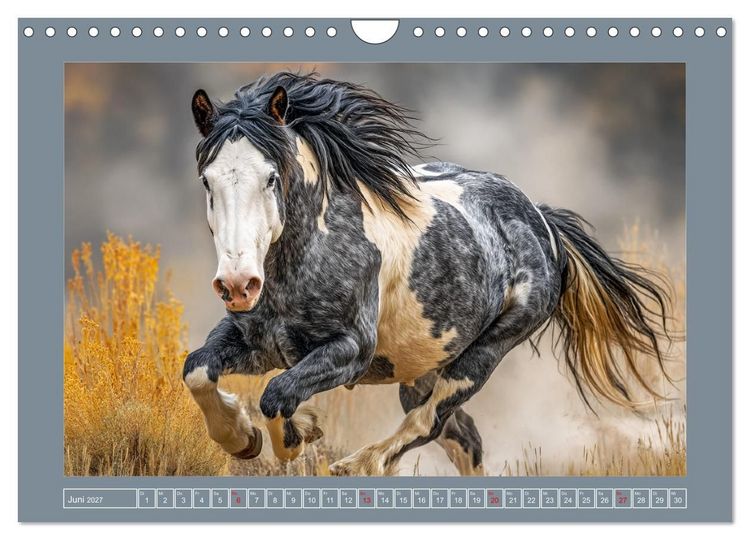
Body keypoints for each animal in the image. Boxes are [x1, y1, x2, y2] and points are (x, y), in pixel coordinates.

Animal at [182, 72, 671, 476]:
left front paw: (295, 436)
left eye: (270, 177)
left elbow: (276, 395)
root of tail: (541, 220)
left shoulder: (351, 350)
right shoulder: (257, 342)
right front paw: (241, 438)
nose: (238, 285)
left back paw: (359, 465)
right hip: (421, 370)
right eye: (207, 180)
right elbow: (198, 370)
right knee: (463, 438)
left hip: (482, 356)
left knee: (428, 423)